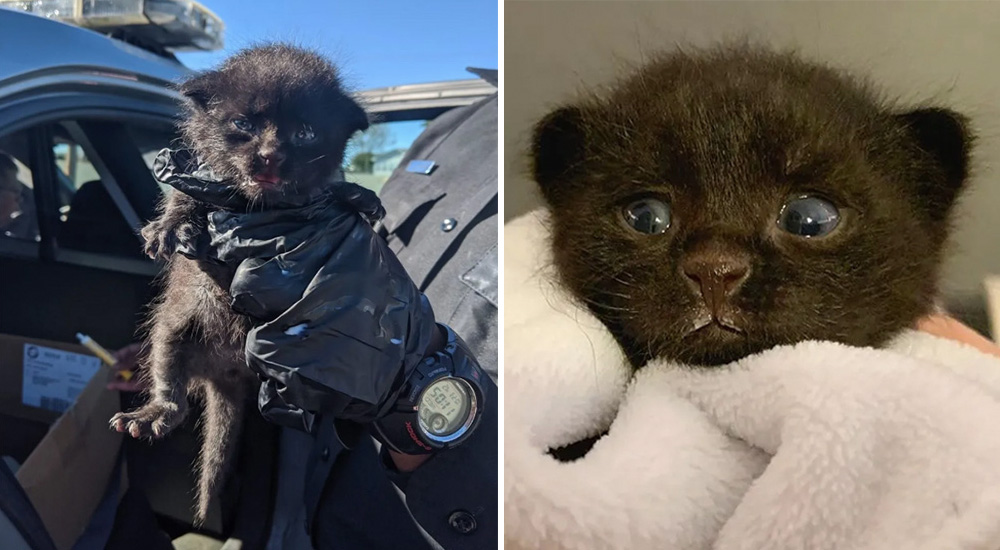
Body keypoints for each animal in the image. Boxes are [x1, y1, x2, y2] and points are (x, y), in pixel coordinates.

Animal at [110, 44, 368, 528]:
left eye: (305, 132)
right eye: (243, 125)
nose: (269, 155)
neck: (257, 206)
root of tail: (227, 374)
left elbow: (330, 192)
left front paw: (360, 196)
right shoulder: (200, 179)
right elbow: (183, 195)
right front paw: (169, 227)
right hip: (170, 332)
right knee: (172, 391)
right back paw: (153, 413)